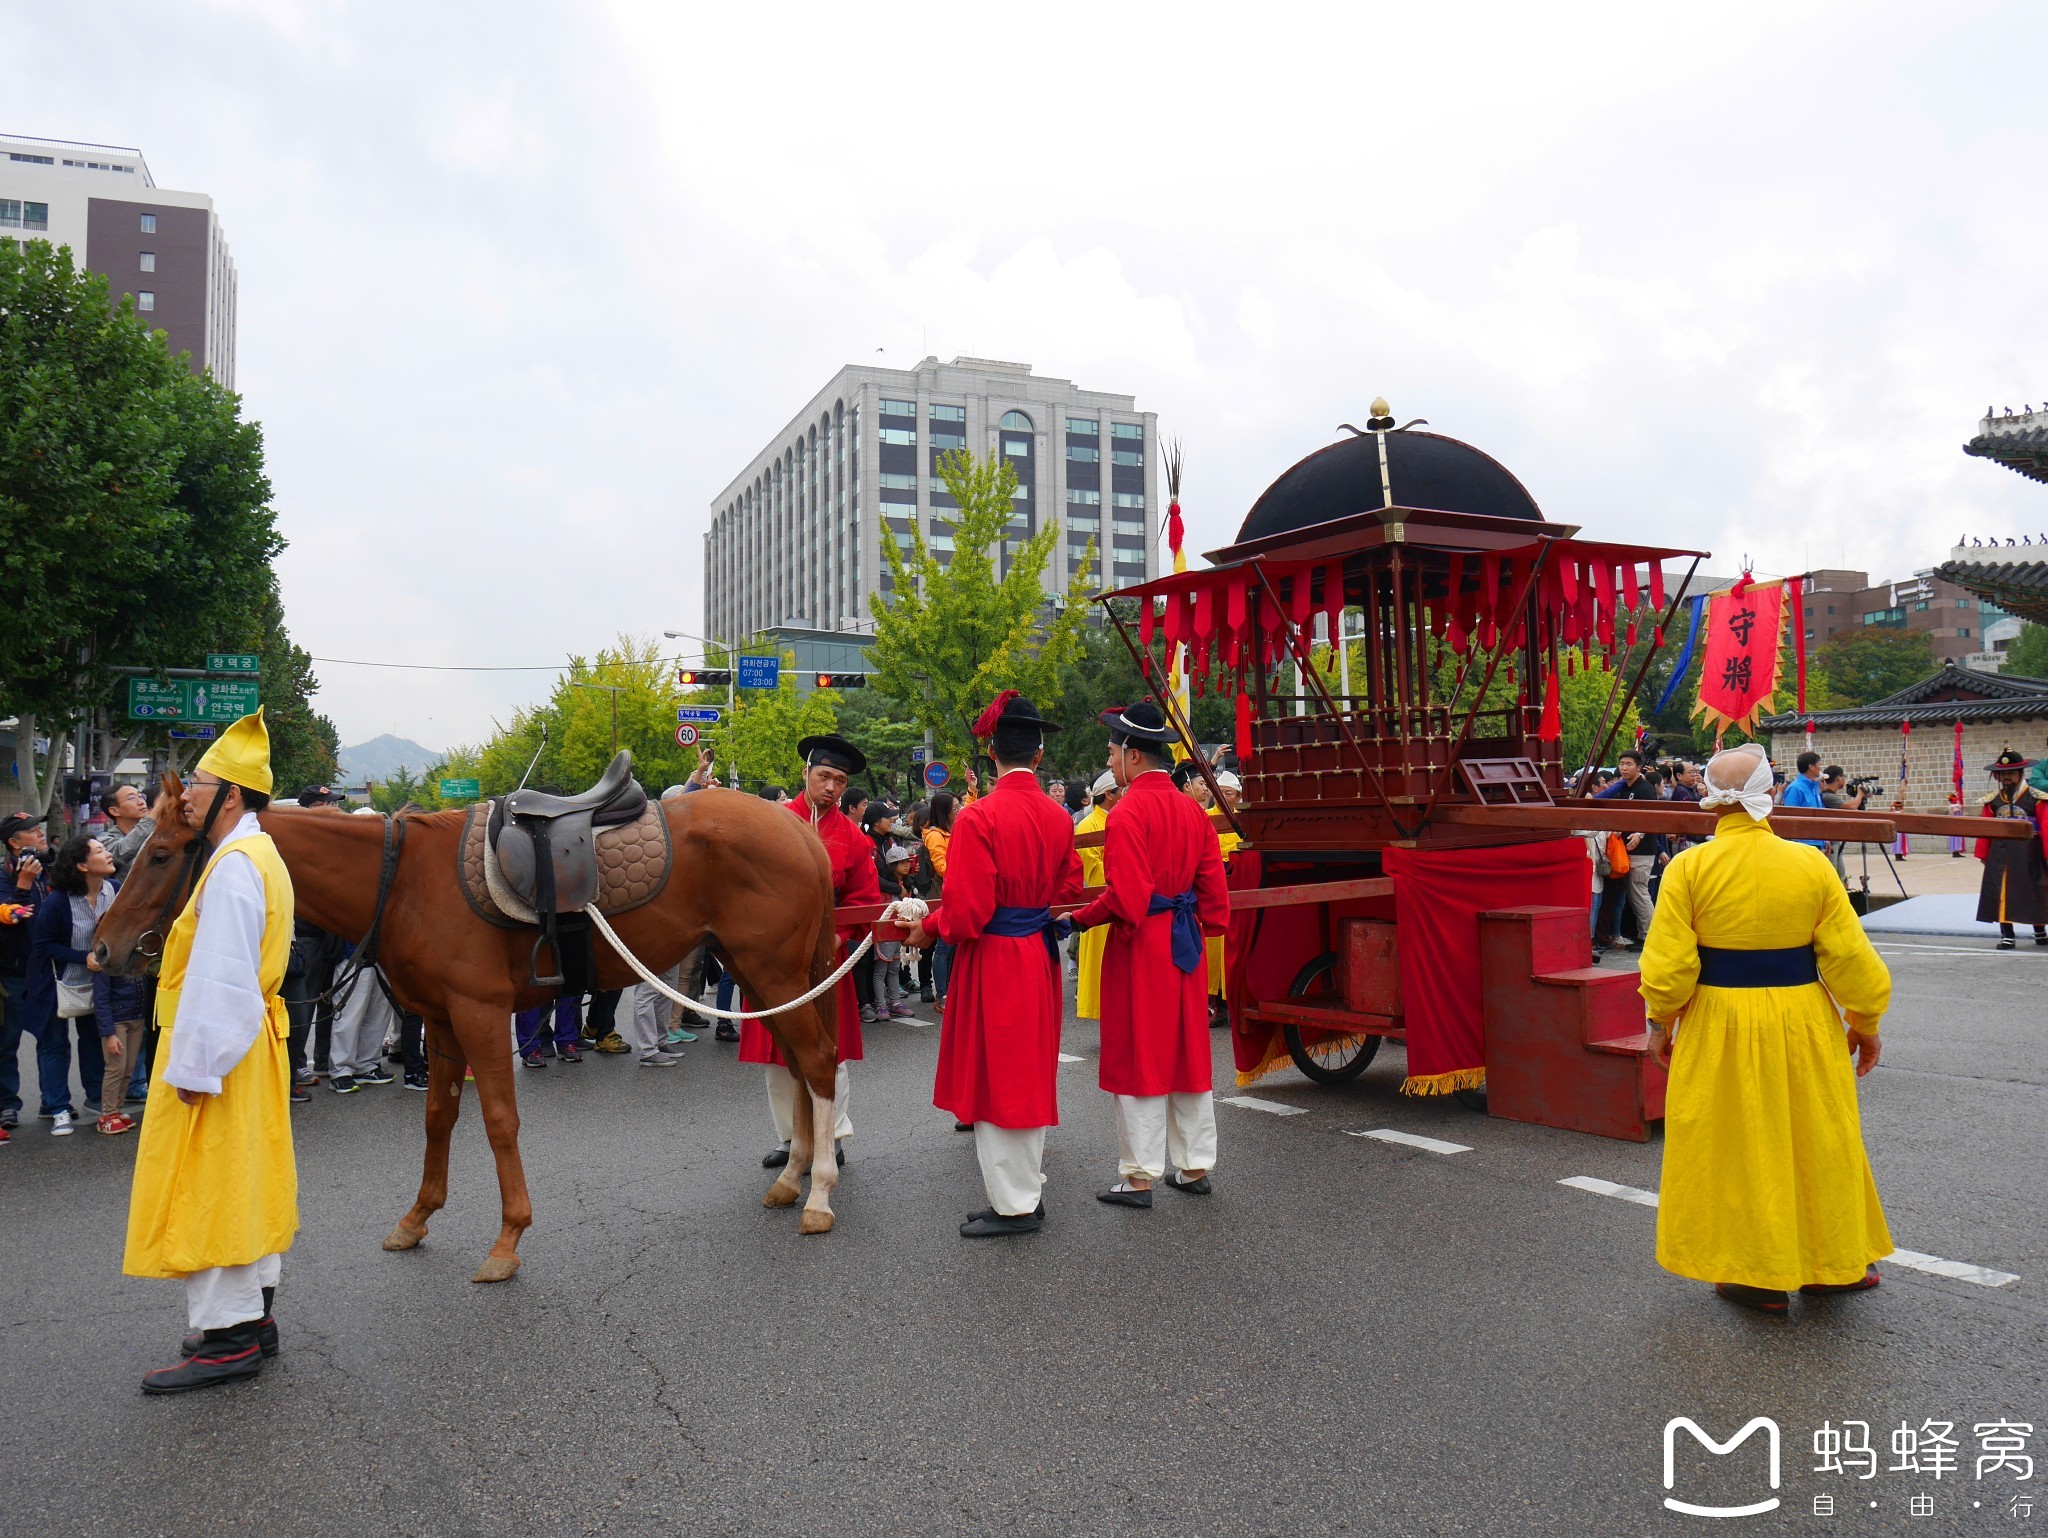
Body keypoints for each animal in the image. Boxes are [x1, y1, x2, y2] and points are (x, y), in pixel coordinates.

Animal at [94, 774, 847, 1277]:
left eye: (160, 854)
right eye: (131, 851)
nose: (104, 948)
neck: (401, 880)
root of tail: (799, 829)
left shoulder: (478, 1013)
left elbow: (498, 1121)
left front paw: (509, 1237)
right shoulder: (439, 1019)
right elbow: (438, 1117)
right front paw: (418, 1216)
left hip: (775, 971)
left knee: (815, 1062)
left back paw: (818, 1194)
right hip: (757, 974)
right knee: (798, 1063)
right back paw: (794, 1178)